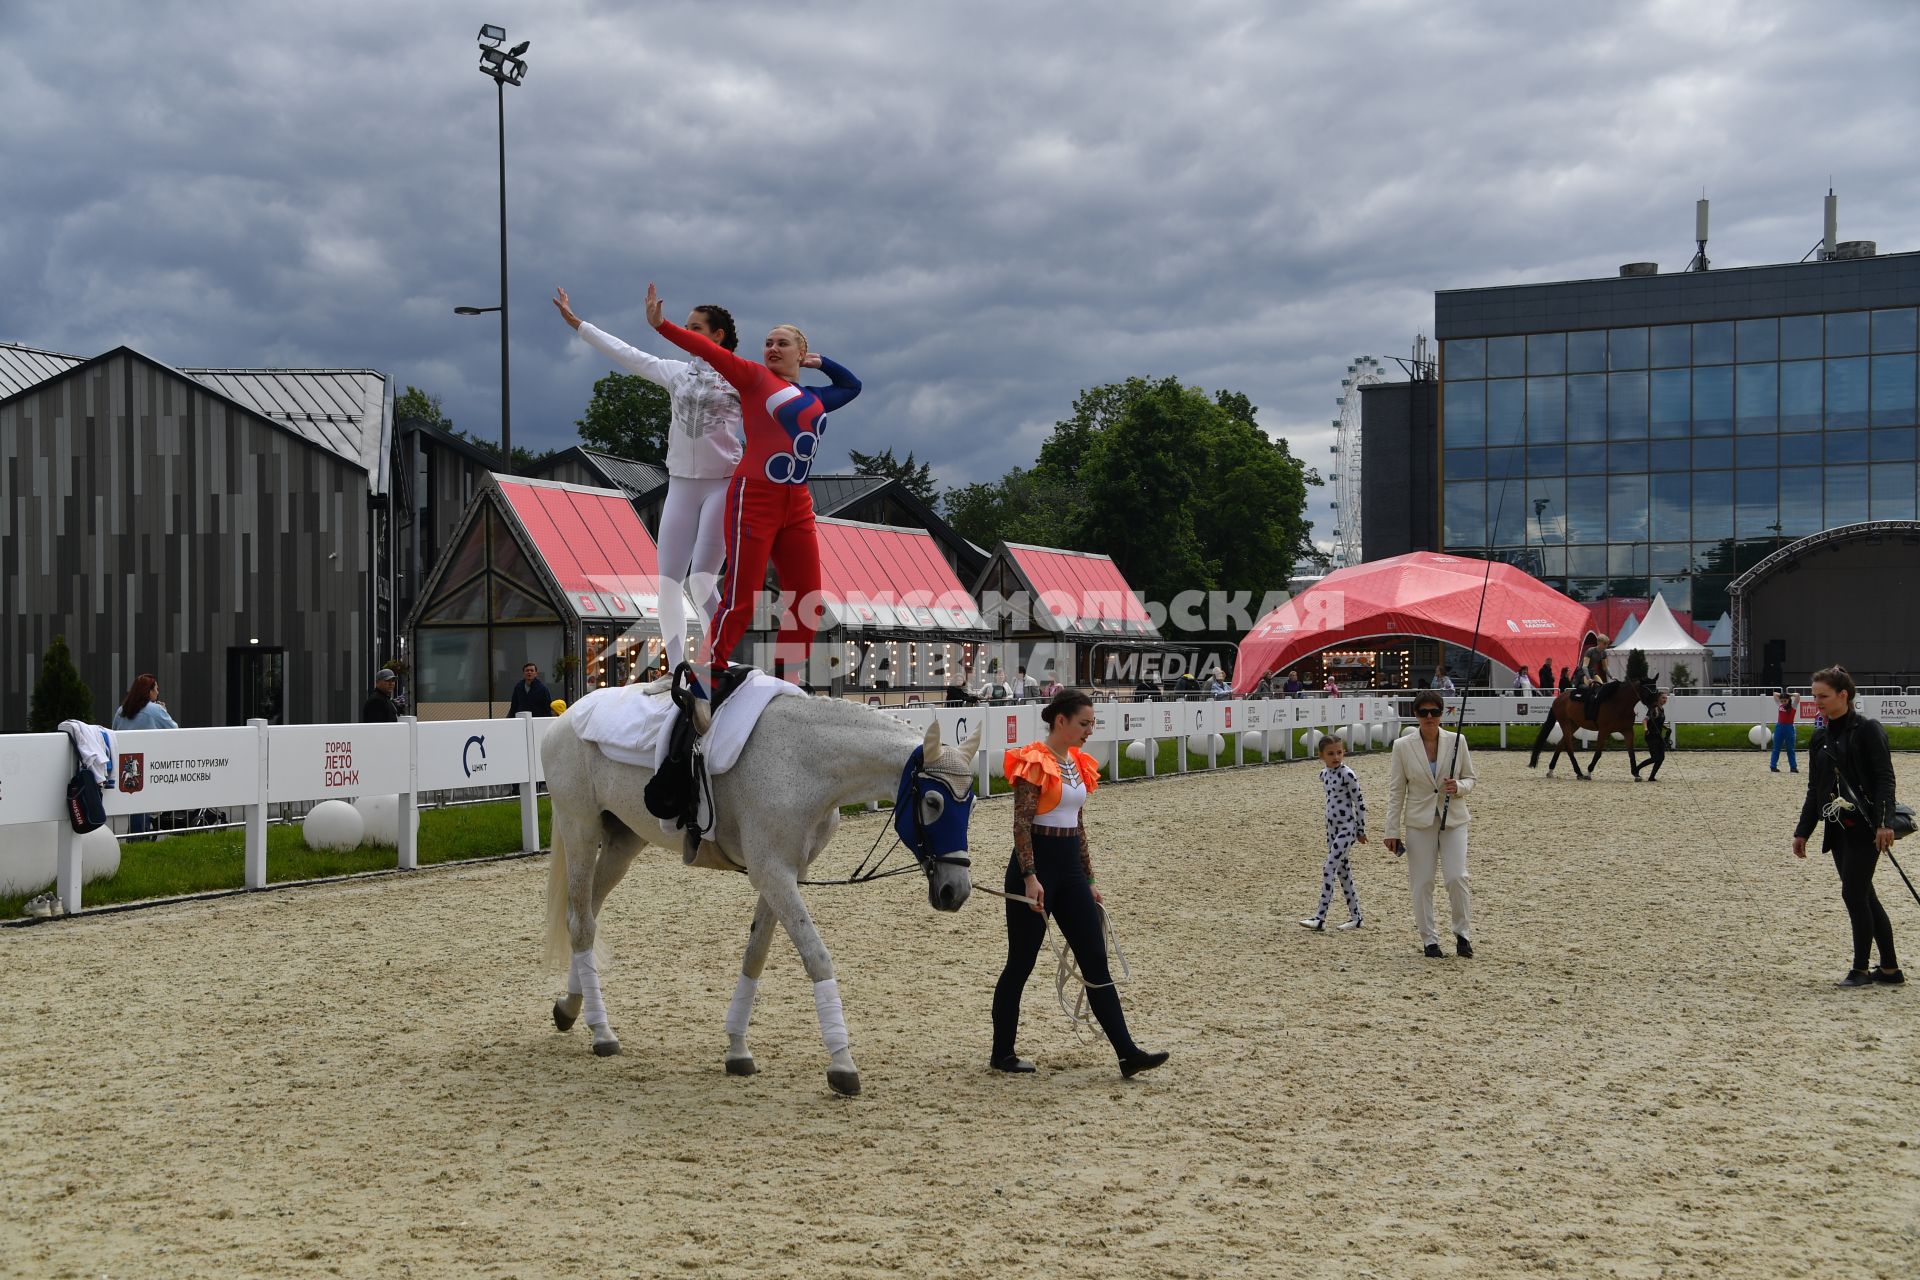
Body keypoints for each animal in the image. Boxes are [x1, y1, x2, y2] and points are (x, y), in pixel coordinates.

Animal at [545, 694, 983, 1097]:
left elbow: (755, 953)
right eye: (933, 801)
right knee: (581, 925)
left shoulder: (787, 874)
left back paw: (569, 1007)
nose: (955, 890)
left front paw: (737, 1049)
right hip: (580, 828)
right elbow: (816, 957)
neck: (802, 763)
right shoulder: (773, 874)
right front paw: (842, 1062)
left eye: (971, 803)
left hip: (623, 842)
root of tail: (567, 716)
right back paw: (601, 1031)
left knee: (585, 917)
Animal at [1520, 679, 1658, 782]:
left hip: (1574, 725)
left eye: (1656, 691)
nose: (1655, 711)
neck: (1619, 703)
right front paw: (1588, 772)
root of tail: (1558, 699)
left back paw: (1551, 770)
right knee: (1568, 747)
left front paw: (1636, 774)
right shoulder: (1603, 731)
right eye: (1648, 691)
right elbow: (1598, 753)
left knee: (1560, 744)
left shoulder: (1628, 731)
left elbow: (1631, 753)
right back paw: (1579, 772)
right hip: (1566, 724)